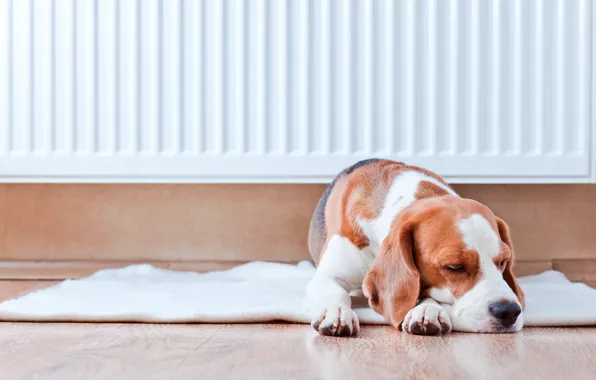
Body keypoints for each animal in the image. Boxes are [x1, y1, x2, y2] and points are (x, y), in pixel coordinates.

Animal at [304, 159, 524, 336]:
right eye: (455, 267)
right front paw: (337, 312)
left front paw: (428, 310)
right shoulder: (328, 275)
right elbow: (336, 293)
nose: (509, 311)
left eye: (503, 262)